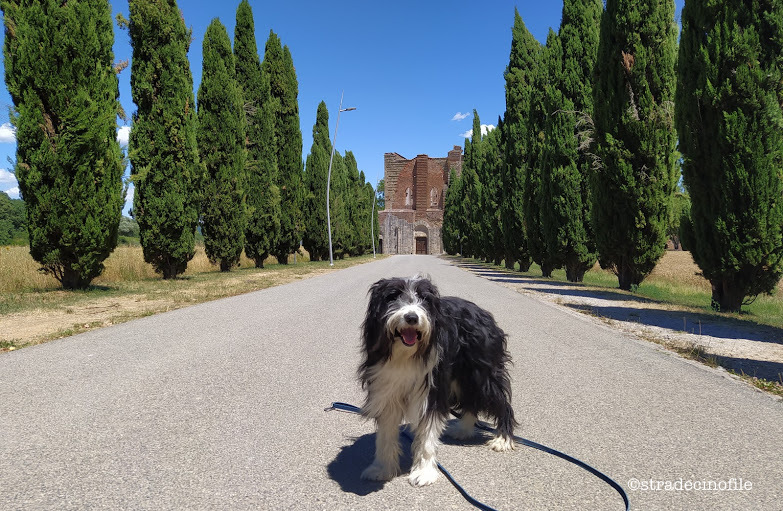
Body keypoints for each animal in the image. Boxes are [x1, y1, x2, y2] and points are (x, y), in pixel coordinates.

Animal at [358, 276, 516, 488]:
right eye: (393, 296)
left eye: (424, 299)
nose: (411, 317)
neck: (405, 356)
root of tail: (482, 312)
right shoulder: (386, 388)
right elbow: (385, 434)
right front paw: (382, 468)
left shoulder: (431, 390)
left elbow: (427, 435)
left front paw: (424, 472)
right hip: (463, 376)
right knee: (471, 400)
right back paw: (464, 430)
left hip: (482, 373)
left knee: (501, 402)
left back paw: (503, 439)